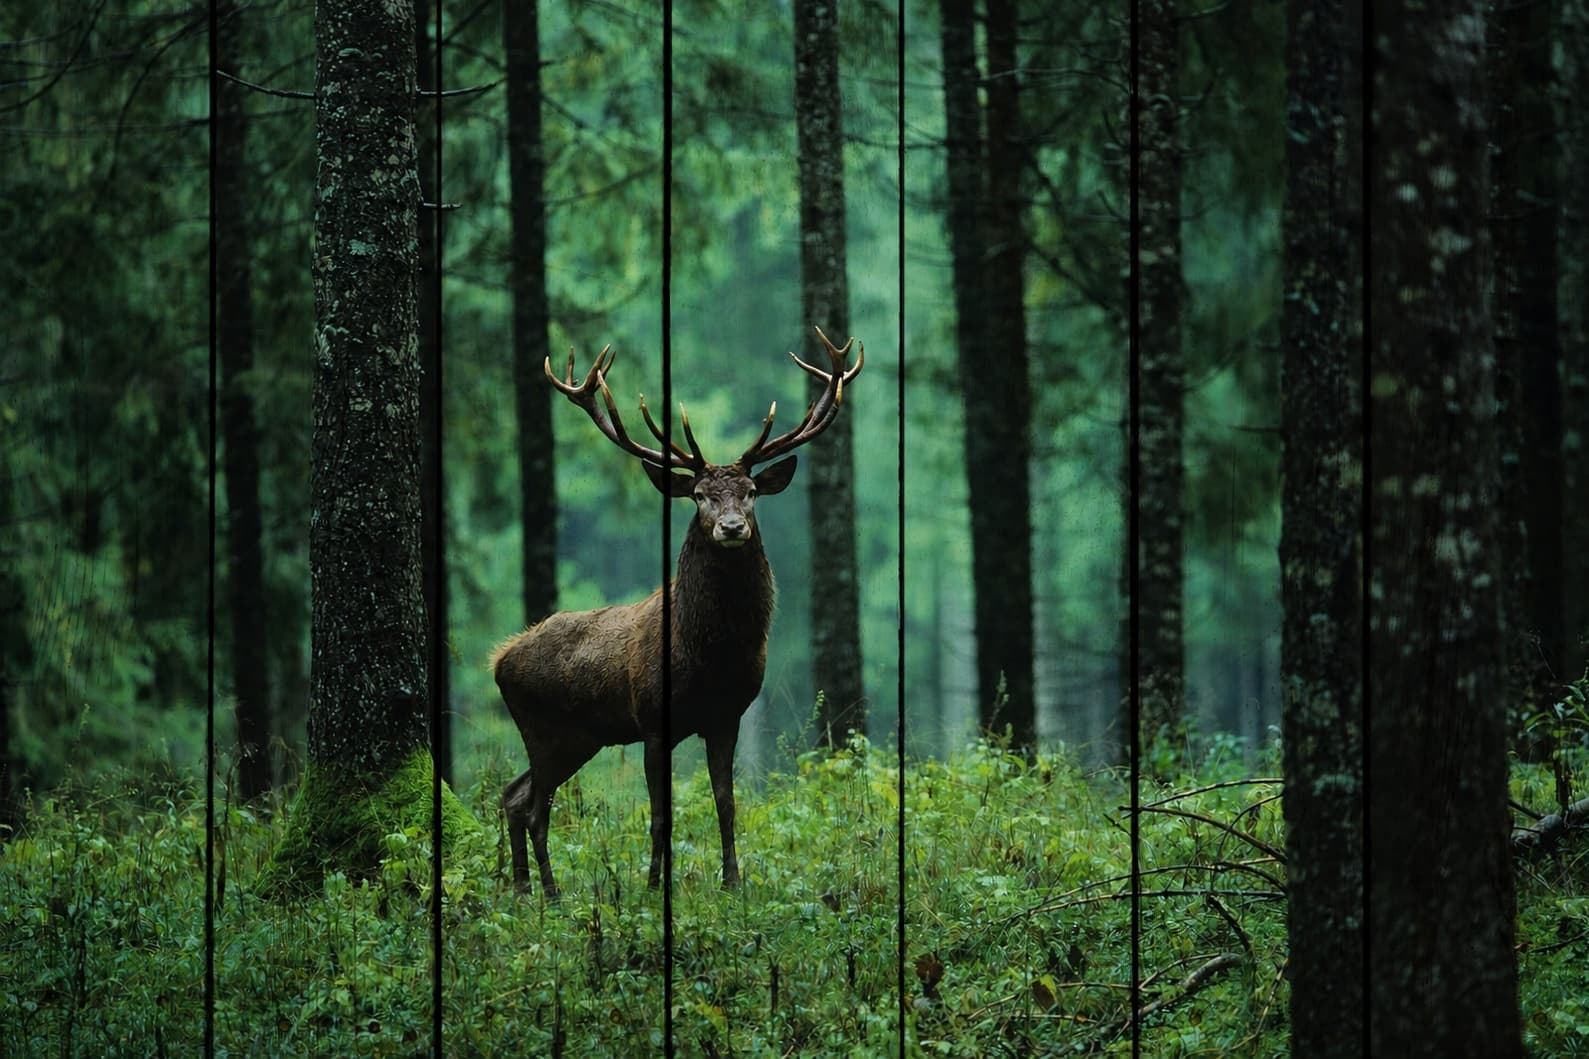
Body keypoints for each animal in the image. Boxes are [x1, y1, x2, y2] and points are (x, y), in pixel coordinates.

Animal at [491, 326, 863, 900]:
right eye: (700, 496)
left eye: (751, 492)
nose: (732, 527)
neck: (708, 655)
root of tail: (500, 660)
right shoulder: (652, 721)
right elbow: (660, 815)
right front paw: (651, 889)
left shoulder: (727, 716)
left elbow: (726, 804)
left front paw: (733, 882)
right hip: (545, 729)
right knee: (533, 807)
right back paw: (549, 893)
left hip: (579, 737)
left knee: (514, 796)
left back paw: (526, 891)